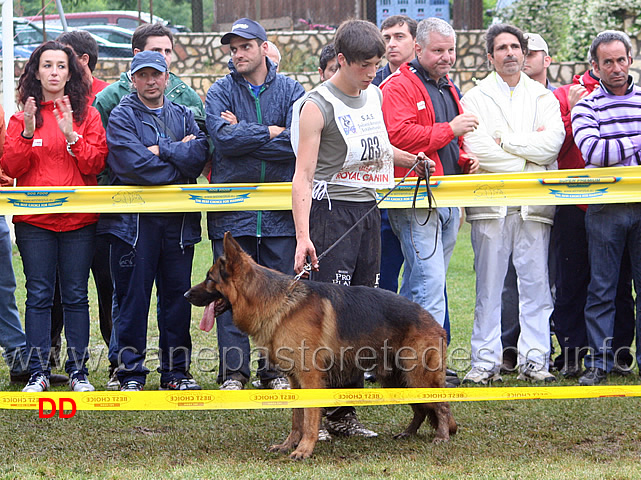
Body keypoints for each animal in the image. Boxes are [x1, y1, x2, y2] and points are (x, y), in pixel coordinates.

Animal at [184, 234, 456, 460]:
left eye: (209, 278)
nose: (186, 295)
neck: (276, 302)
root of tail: (434, 322)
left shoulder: (311, 379)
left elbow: (309, 418)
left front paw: (305, 448)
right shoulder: (295, 380)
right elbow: (297, 418)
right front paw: (289, 445)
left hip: (418, 377)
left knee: (441, 405)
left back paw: (442, 436)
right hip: (397, 380)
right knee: (421, 409)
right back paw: (409, 433)